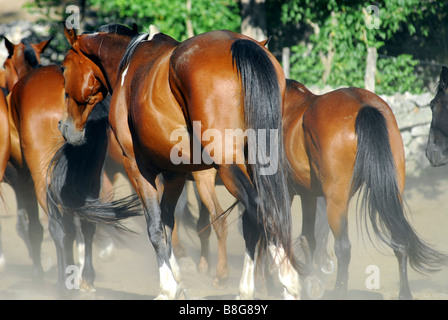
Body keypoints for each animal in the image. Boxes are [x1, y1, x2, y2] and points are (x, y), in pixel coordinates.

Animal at [58, 23, 298, 300]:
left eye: (64, 67)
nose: (65, 126)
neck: (128, 64)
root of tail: (240, 43)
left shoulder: (137, 167)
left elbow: (155, 227)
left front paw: (168, 287)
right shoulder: (176, 173)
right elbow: (167, 222)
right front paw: (179, 281)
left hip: (228, 167)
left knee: (260, 211)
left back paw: (281, 283)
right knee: (258, 218)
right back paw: (253, 287)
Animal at [286, 79, 446, 298]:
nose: (433, 153)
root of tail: (363, 106)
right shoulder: (307, 193)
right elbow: (306, 237)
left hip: (336, 200)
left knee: (343, 248)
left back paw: (338, 291)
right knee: (399, 239)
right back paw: (404, 292)